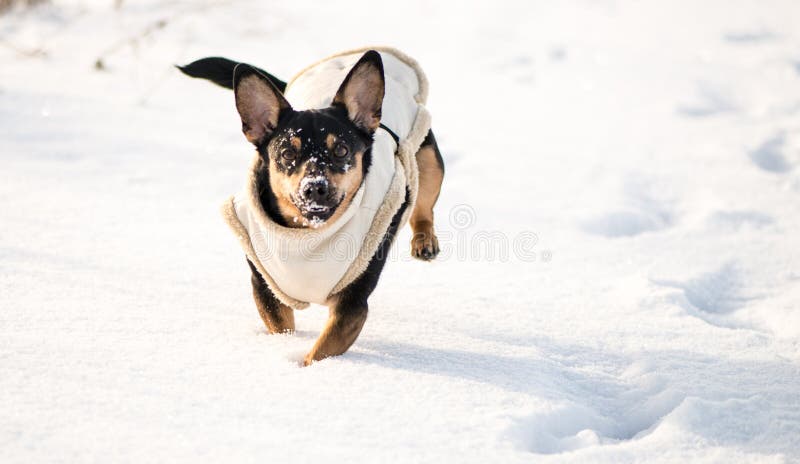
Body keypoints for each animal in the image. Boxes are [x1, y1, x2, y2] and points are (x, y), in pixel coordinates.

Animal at [178, 48, 444, 366]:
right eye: (286, 153)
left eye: (340, 150)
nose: (315, 186)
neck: (307, 235)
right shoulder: (266, 288)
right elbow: (283, 329)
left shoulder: (352, 305)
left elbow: (320, 351)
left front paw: (305, 369)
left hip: (426, 157)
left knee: (423, 204)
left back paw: (424, 241)